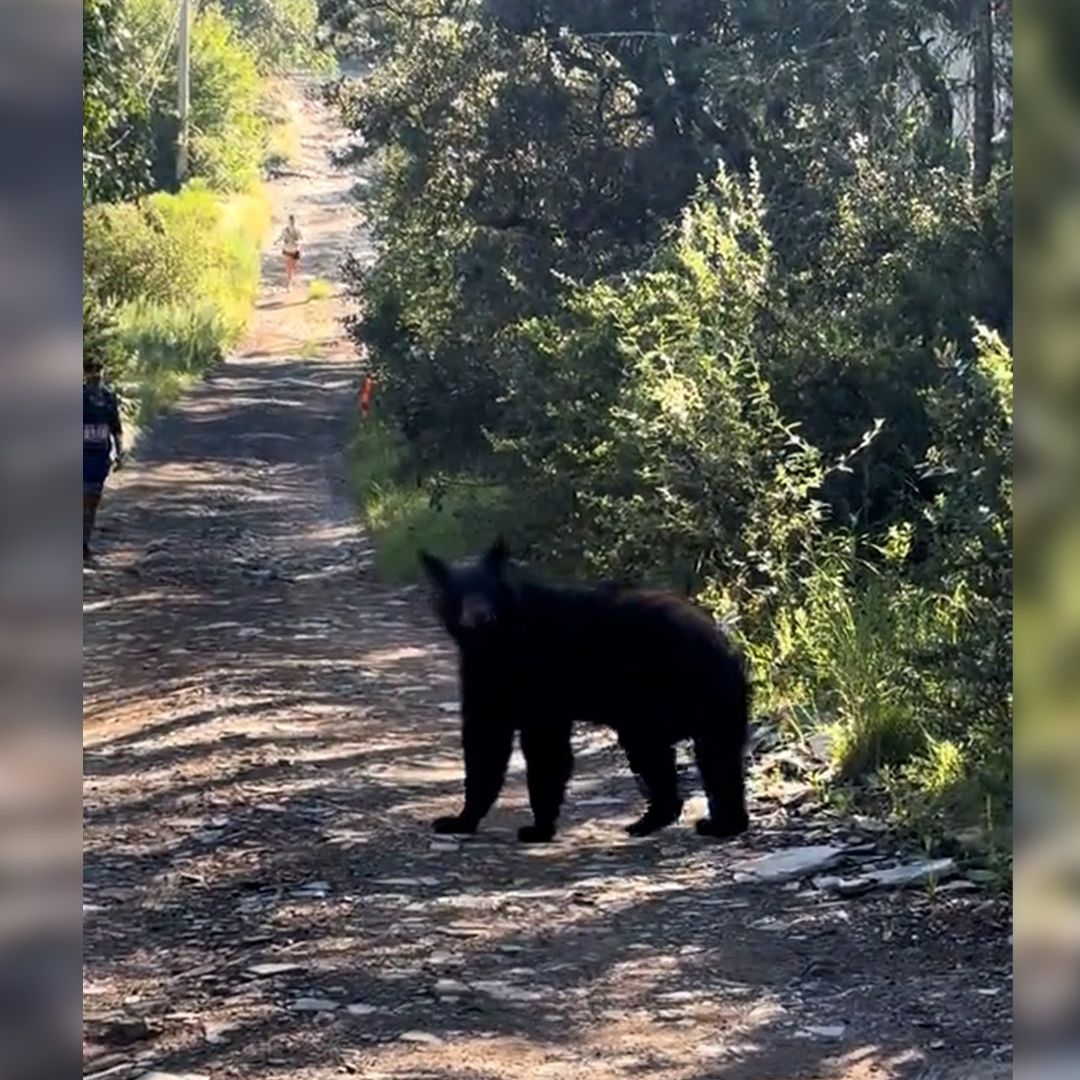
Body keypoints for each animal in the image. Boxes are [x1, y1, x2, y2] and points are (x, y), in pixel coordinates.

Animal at [419, 539, 750, 843]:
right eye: (457, 593)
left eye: (489, 589)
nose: (480, 616)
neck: (495, 641)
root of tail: (722, 645)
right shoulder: (487, 678)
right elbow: (487, 741)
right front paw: (460, 820)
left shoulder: (537, 678)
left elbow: (540, 750)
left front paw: (538, 828)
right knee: (711, 761)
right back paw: (690, 822)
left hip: (671, 698)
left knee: (680, 756)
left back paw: (692, 823)